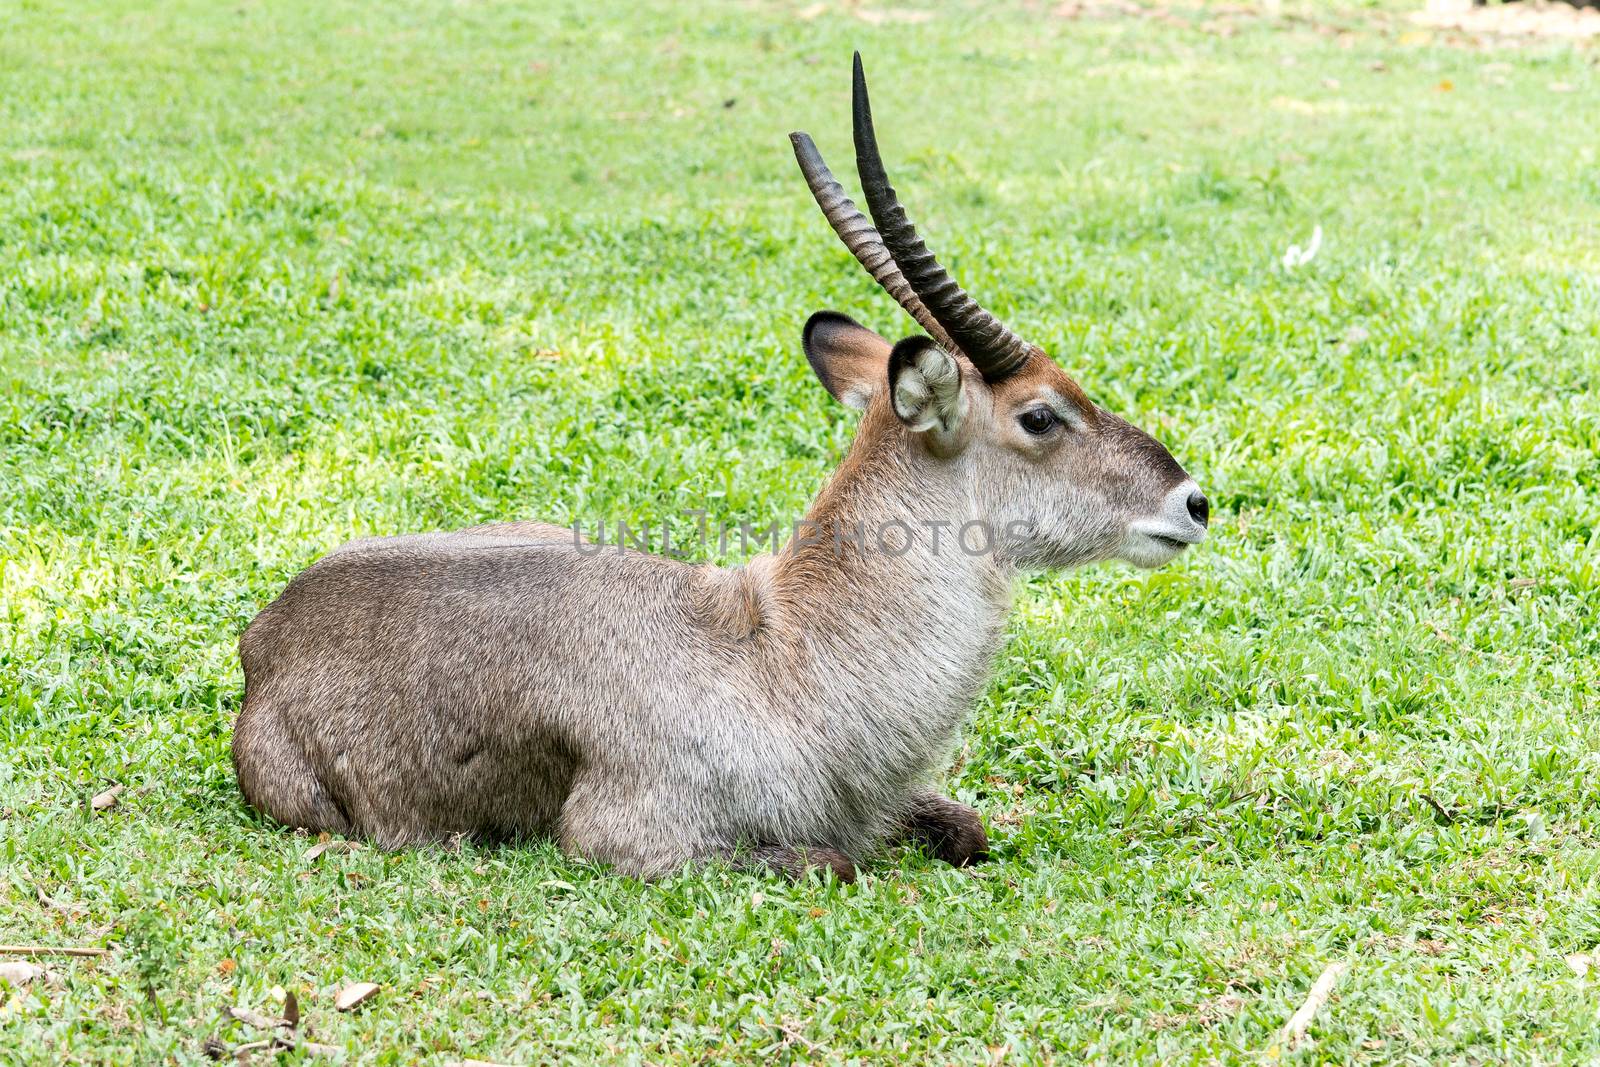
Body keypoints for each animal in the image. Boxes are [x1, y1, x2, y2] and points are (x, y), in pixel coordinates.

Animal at [232, 54, 1203, 883]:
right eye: (1040, 414)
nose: (1192, 500)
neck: (780, 653)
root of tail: (264, 634)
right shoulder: (629, 838)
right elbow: (831, 859)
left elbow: (969, 828)